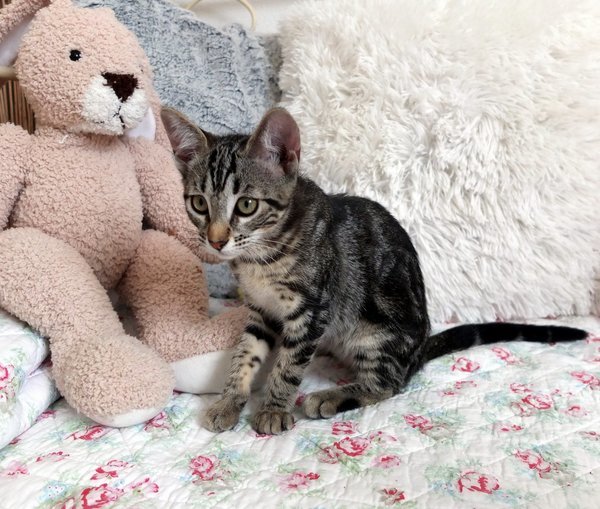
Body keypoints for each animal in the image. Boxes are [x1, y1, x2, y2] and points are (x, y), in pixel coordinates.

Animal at [161, 106, 588, 435]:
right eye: (199, 203)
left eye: (246, 205)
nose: (216, 241)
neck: (262, 257)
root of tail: (418, 349)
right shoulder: (260, 311)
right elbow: (245, 355)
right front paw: (230, 399)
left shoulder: (313, 310)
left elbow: (288, 364)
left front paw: (273, 408)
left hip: (376, 333)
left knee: (389, 385)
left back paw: (328, 396)